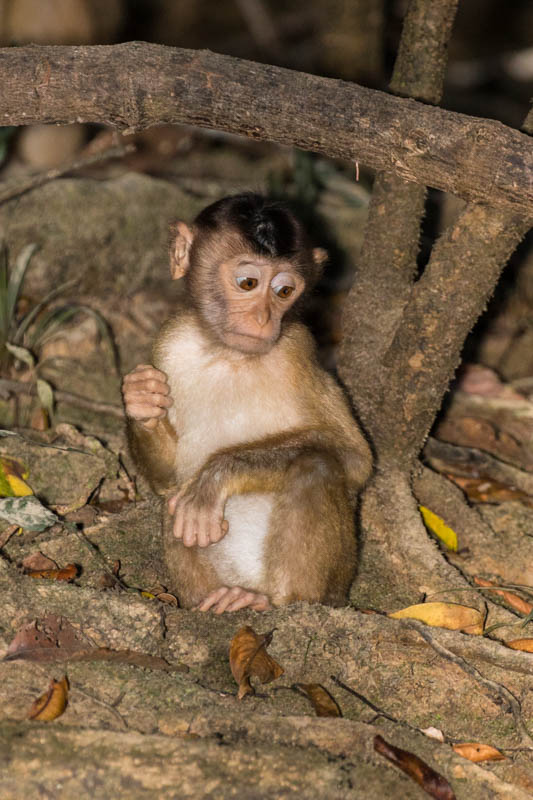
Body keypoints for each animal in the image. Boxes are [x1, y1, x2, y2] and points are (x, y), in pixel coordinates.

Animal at [122, 194, 370, 612]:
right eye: (248, 283)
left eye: (284, 291)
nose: (263, 317)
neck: (230, 355)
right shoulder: (170, 342)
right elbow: (165, 481)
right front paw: (140, 400)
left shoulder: (297, 349)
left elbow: (354, 458)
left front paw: (216, 476)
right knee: (172, 499)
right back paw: (220, 598)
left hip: (333, 586)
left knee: (316, 464)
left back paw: (269, 601)